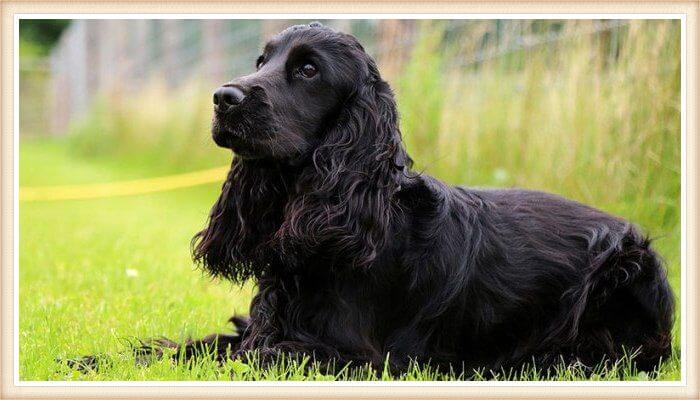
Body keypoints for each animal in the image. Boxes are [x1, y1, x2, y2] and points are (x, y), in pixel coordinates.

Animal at [189, 22, 668, 376]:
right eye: (261, 61)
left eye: (308, 70)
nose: (222, 98)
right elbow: (210, 344)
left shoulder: (361, 357)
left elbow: (253, 354)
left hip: (625, 271)